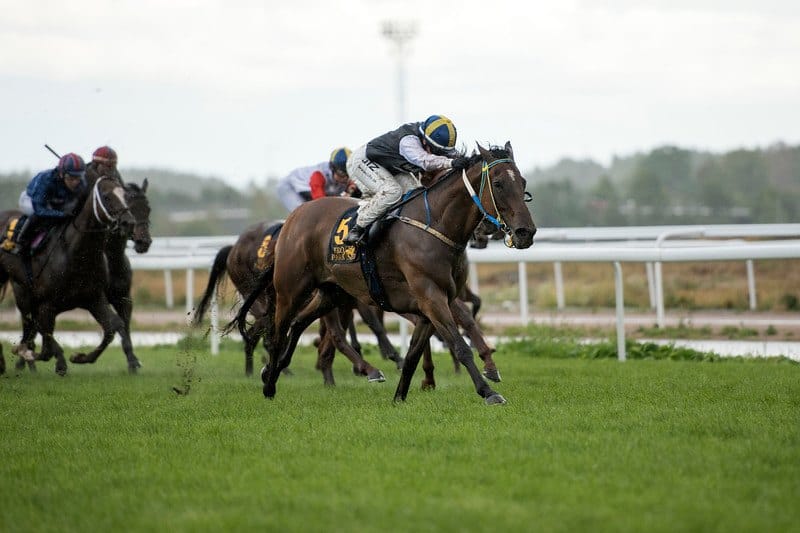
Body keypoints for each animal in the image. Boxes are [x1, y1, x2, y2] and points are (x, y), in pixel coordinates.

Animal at [233, 141, 536, 404]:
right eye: (498, 184)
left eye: (522, 182)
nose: (526, 232)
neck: (434, 226)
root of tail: (293, 218)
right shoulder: (431, 297)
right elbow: (460, 345)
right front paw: (488, 392)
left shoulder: (435, 303)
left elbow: (414, 353)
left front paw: (400, 396)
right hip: (291, 289)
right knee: (278, 332)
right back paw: (270, 382)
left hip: (333, 293)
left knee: (298, 324)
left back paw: (273, 371)